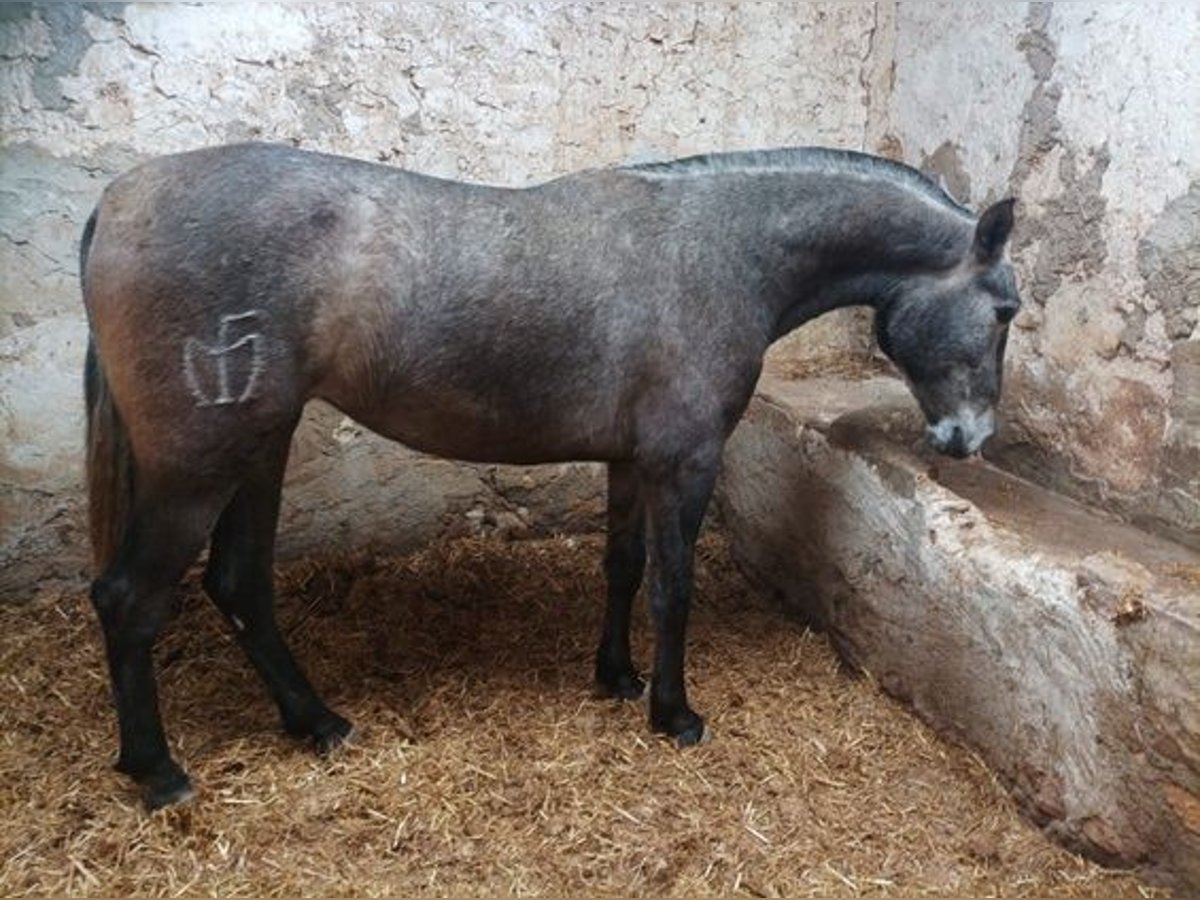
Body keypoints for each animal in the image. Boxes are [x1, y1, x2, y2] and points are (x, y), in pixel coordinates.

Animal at [79, 146, 1017, 811]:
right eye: (1006, 310)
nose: (968, 438)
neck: (718, 250)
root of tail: (119, 201)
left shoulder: (631, 463)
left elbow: (624, 569)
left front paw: (617, 678)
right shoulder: (684, 463)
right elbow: (673, 588)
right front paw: (674, 715)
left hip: (259, 450)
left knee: (238, 585)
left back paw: (317, 724)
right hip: (198, 467)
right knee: (130, 599)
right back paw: (158, 771)